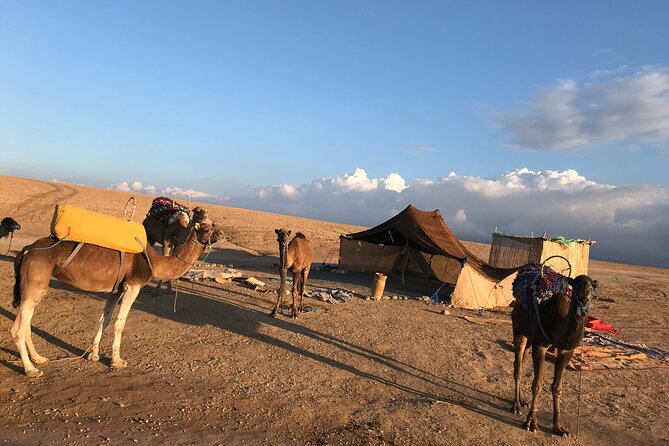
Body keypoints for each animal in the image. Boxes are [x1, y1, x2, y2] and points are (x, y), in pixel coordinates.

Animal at [10, 221, 222, 378]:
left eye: (213, 225)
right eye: (206, 228)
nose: (221, 234)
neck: (155, 262)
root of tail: (26, 250)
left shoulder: (116, 290)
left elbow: (104, 320)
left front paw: (94, 355)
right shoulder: (132, 286)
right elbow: (120, 324)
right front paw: (117, 361)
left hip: (34, 286)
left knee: (24, 323)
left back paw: (39, 359)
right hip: (35, 281)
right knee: (18, 329)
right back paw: (31, 369)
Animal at [511, 264, 597, 436]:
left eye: (593, 285)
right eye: (575, 282)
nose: (586, 290)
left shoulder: (565, 351)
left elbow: (557, 388)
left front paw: (559, 427)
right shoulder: (540, 345)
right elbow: (537, 385)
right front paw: (531, 423)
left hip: (529, 338)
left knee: (522, 362)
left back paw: (522, 401)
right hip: (518, 330)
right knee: (518, 367)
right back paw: (516, 405)